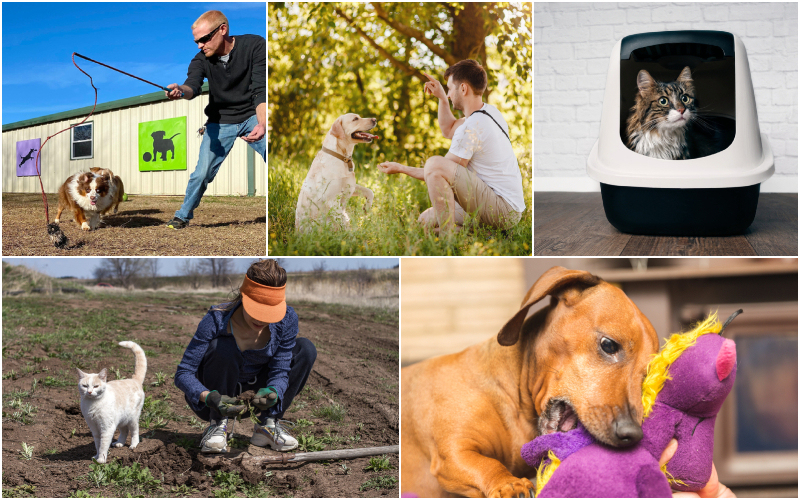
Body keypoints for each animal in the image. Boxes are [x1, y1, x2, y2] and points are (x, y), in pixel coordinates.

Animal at [404, 266, 660, 496]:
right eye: (608, 345)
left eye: (646, 374)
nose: (633, 434)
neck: (513, 400)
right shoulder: (453, 452)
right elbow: (487, 464)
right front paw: (508, 484)